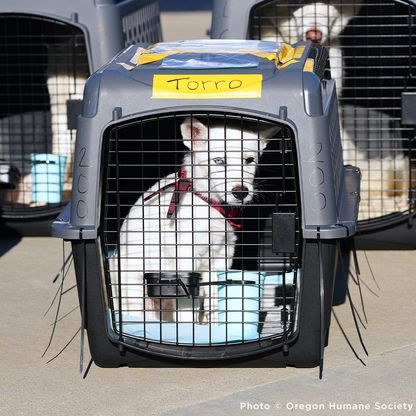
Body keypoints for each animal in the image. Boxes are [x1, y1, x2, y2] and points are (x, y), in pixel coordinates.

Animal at [109, 117, 280, 324]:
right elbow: (187, 305)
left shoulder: (222, 255)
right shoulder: (185, 255)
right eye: (218, 161)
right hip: (132, 286)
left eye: (249, 160)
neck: (209, 204)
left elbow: (215, 298)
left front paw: (214, 327)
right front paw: (189, 329)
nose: (241, 192)